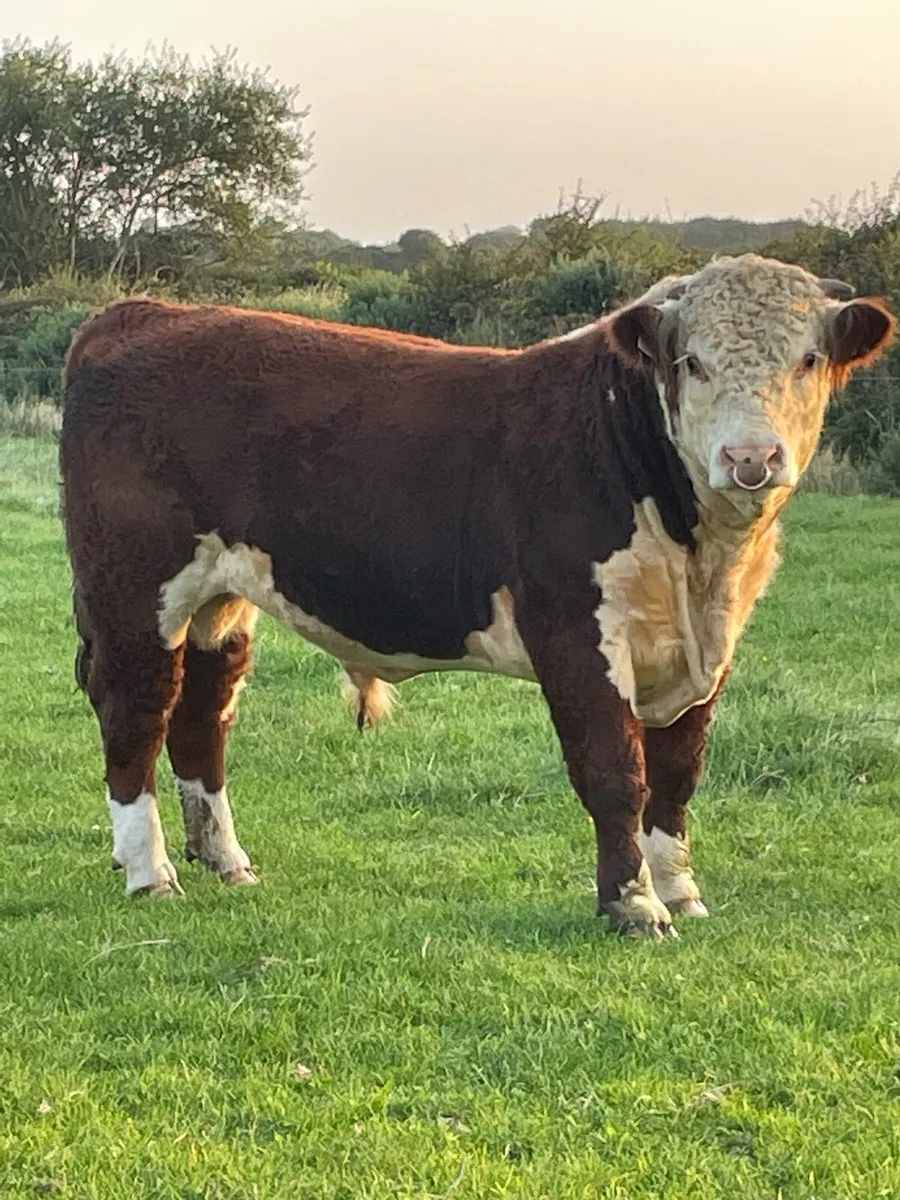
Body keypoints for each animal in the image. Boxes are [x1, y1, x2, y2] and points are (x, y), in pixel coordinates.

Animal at [59, 255, 895, 937]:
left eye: (809, 358)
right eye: (691, 361)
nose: (751, 458)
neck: (701, 563)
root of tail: (143, 312)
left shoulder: (708, 652)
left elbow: (677, 776)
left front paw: (680, 892)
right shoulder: (575, 633)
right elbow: (614, 771)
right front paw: (633, 904)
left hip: (219, 600)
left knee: (202, 713)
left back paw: (225, 859)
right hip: (134, 591)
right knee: (135, 712)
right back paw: (149, 872)